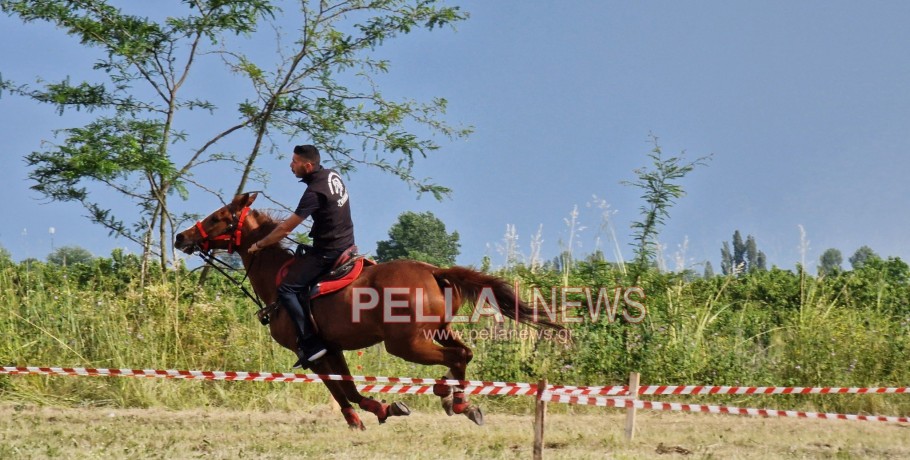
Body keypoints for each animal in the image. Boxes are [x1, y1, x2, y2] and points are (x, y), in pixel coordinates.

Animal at [175, 193, 564, 428]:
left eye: (219, 217)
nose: (181, 237)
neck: (276, 277)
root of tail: (433, 271)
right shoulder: (330, 349)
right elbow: (345, 386)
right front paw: (379, 409)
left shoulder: (313, 353)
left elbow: (341, 390)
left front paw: (365, 415)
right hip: (436, 332)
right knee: (463, 353)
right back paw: (459, 401)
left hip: (406, 344)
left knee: (456, 357)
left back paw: (449, 397)